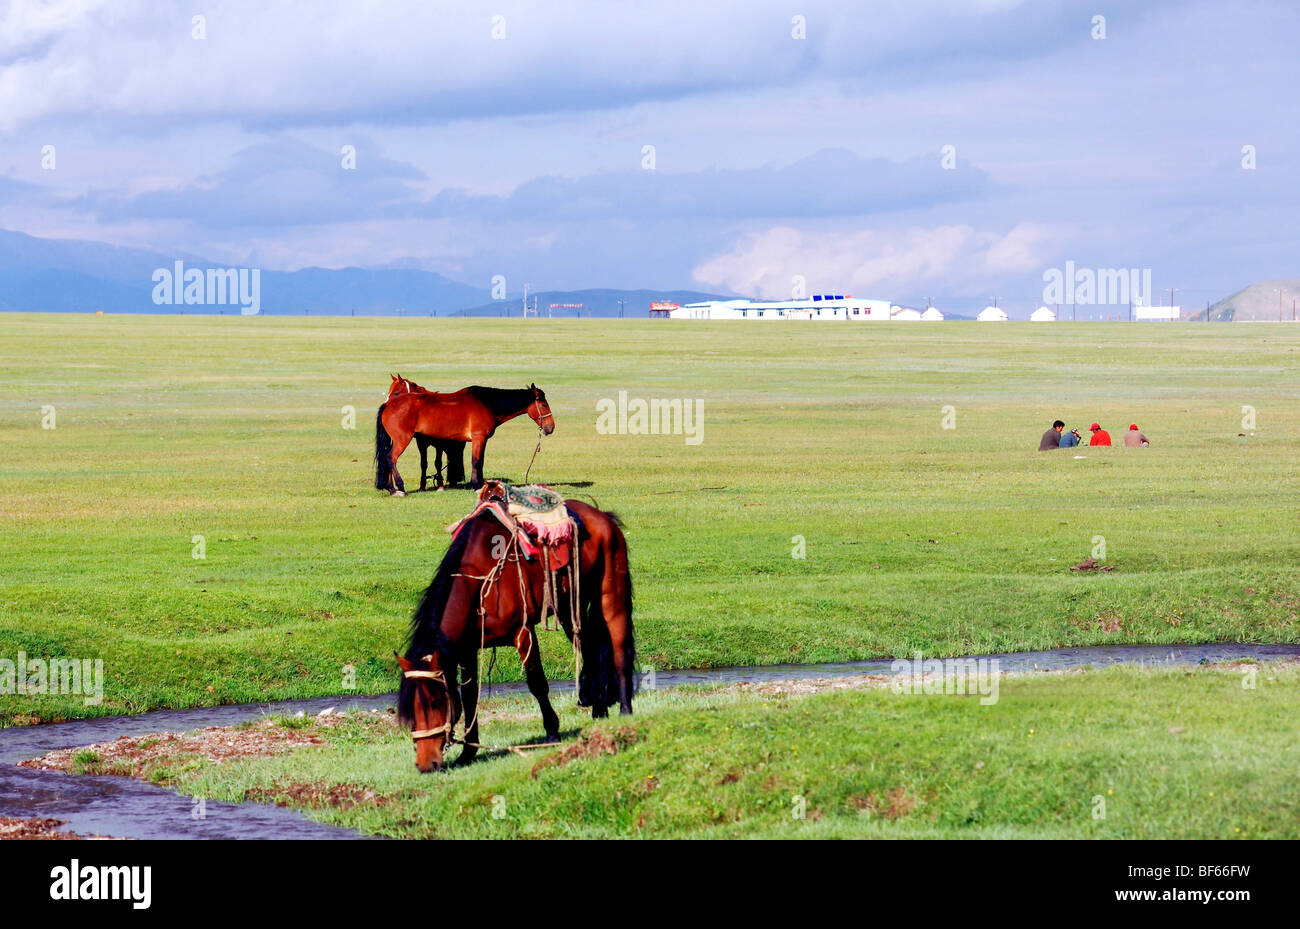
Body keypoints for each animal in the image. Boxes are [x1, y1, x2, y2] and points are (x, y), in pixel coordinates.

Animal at [371, 381, 553, 493]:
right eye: (544, 404)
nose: (550, 427)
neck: (487, 404)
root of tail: (389, 404)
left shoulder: (482, 440)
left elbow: (480, 462)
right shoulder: (478, 438)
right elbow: (476, 461)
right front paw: (477, 486)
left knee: (387, 459)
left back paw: (392, 489)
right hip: (402, 440)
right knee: (391, 458)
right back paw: (399, 488)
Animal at [397, 498, 637, 774]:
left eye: (436, 703)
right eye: (410, 710)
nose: (426, 764)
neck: (480, 581)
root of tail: (603, 517)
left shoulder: (522, 634)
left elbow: (537, 683)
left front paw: (552, 733)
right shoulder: (467, 649)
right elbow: (469, 697)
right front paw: (468, 752)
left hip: (611, 596)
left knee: (619, 649)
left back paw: (625, 710)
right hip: (569, 610)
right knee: (590, 648)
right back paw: (599, 710)